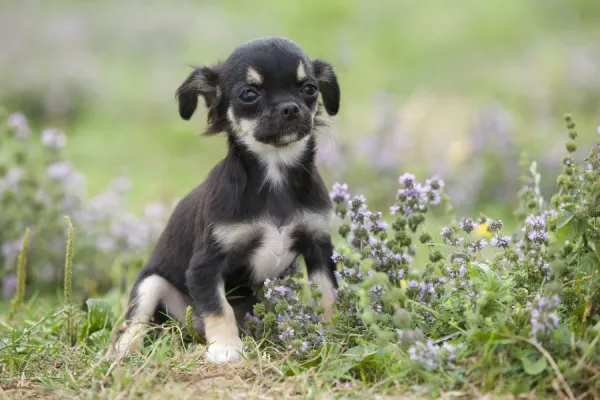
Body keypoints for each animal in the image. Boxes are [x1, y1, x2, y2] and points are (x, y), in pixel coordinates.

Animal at [110, 36, 340, 364]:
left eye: (309, 89)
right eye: (249, 94)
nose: (290, 108)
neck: (275, 174)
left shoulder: (318, 246)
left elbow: (329, 294)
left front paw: (335, 332)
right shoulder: (206, 265)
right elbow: (219, 308)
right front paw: (226, 349)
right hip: (151, 284)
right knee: (136, 322)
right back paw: (125, 351)